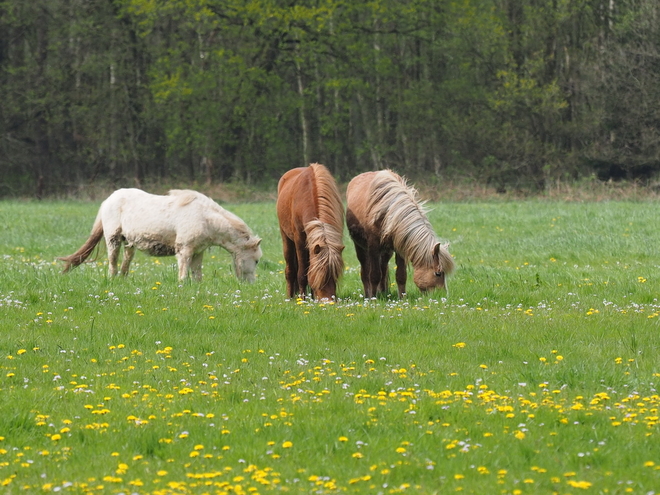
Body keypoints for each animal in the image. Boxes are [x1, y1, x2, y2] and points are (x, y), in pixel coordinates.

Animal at [56, 190, 262, 282]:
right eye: (257, 260)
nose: (250, 284)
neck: (206, 218)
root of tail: (108, 199)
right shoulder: (184, 250)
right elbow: (183, 274)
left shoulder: (198, 251)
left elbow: (197, 275)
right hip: (113, 239)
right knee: (113, 263)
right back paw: (113, 280)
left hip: (129, 243)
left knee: (126, 263)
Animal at [276, 165, 346, 300]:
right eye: (321, 276)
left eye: (335, 274)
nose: (328, 301)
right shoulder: (300, 241)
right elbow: (302, 274)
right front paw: (303, 299)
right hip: (286, 239)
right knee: (290, 270)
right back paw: (290, 297)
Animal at [346, 170, 454, 298]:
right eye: (438, 273)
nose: (443, 296)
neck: (388, 211)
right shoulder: (373, 247)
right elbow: (374, 275)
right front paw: (373, 298)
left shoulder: (400, 247)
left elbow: (401, 275)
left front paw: (402, 297)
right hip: (360, 247)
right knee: (365, 270)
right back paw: (369, 295)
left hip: (387, 251)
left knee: (383, 268)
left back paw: (384, 292)